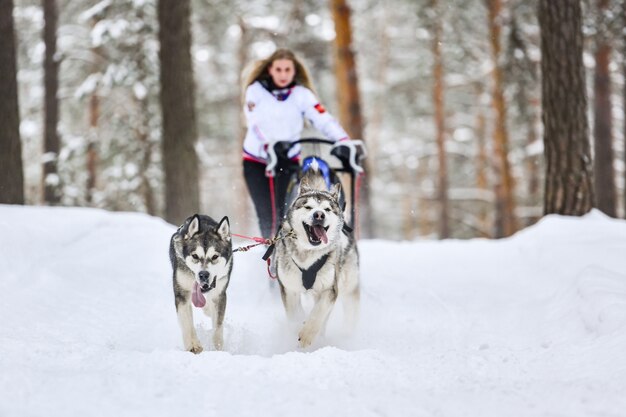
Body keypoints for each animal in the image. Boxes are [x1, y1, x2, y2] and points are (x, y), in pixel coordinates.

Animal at [168, 213, 232, 352]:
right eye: (195, 256)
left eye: (215, 257)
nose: (203, 275)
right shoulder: (182, 293)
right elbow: (186, 323)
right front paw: (193, 345)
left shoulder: (219, 295)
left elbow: (218, 327)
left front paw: (217, 347)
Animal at [272, 162, 358, 348]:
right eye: (308, 207)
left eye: (327, 209)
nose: (319, 214)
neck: (308, 254)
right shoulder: (289, 289)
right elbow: (295, 315)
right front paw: (297, 329)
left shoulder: (329, 289)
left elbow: (319, 313)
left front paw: (307, 335)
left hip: (349, 284)